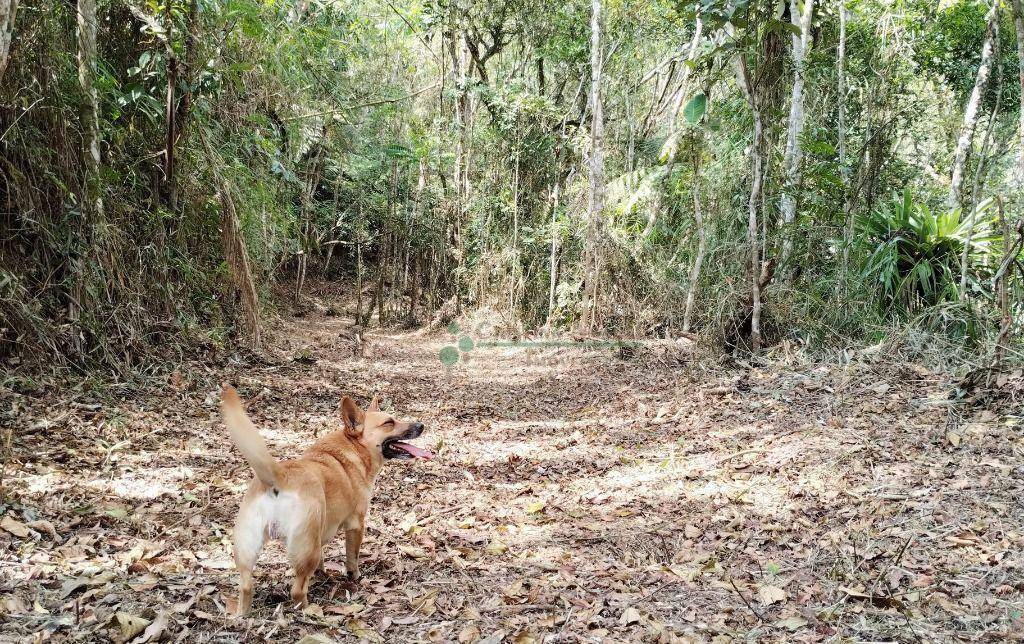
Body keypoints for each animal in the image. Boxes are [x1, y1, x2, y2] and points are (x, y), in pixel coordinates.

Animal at [220, 380, 432, 614]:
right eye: (389, 423)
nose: (421, 425)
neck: (352, 450)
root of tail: (279, 475)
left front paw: (322, 573)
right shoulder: (356, 525)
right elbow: (352, 557)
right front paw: (354, 576)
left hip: (247, 551)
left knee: (246, 587)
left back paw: (242, 614)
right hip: (306, 550)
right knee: (297, 591)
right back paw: (308, 611)